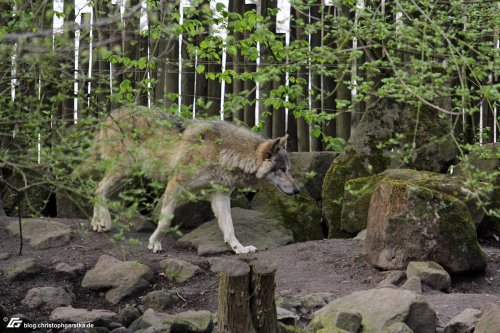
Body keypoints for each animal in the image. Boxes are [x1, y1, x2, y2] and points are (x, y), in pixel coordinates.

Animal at [84, 106, 298, 254]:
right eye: (282, 170)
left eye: (289, 170)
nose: (297, 191)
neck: (224, 152)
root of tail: (112, 113)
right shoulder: (175, 184)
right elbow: (165, 220)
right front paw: (155, 242)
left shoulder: (220, 196)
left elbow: (229, 228)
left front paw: (240, 249)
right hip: (124, 169)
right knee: (99, 188)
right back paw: (102, 221)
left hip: (128, 174)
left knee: (98, 189)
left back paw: (98, 222)